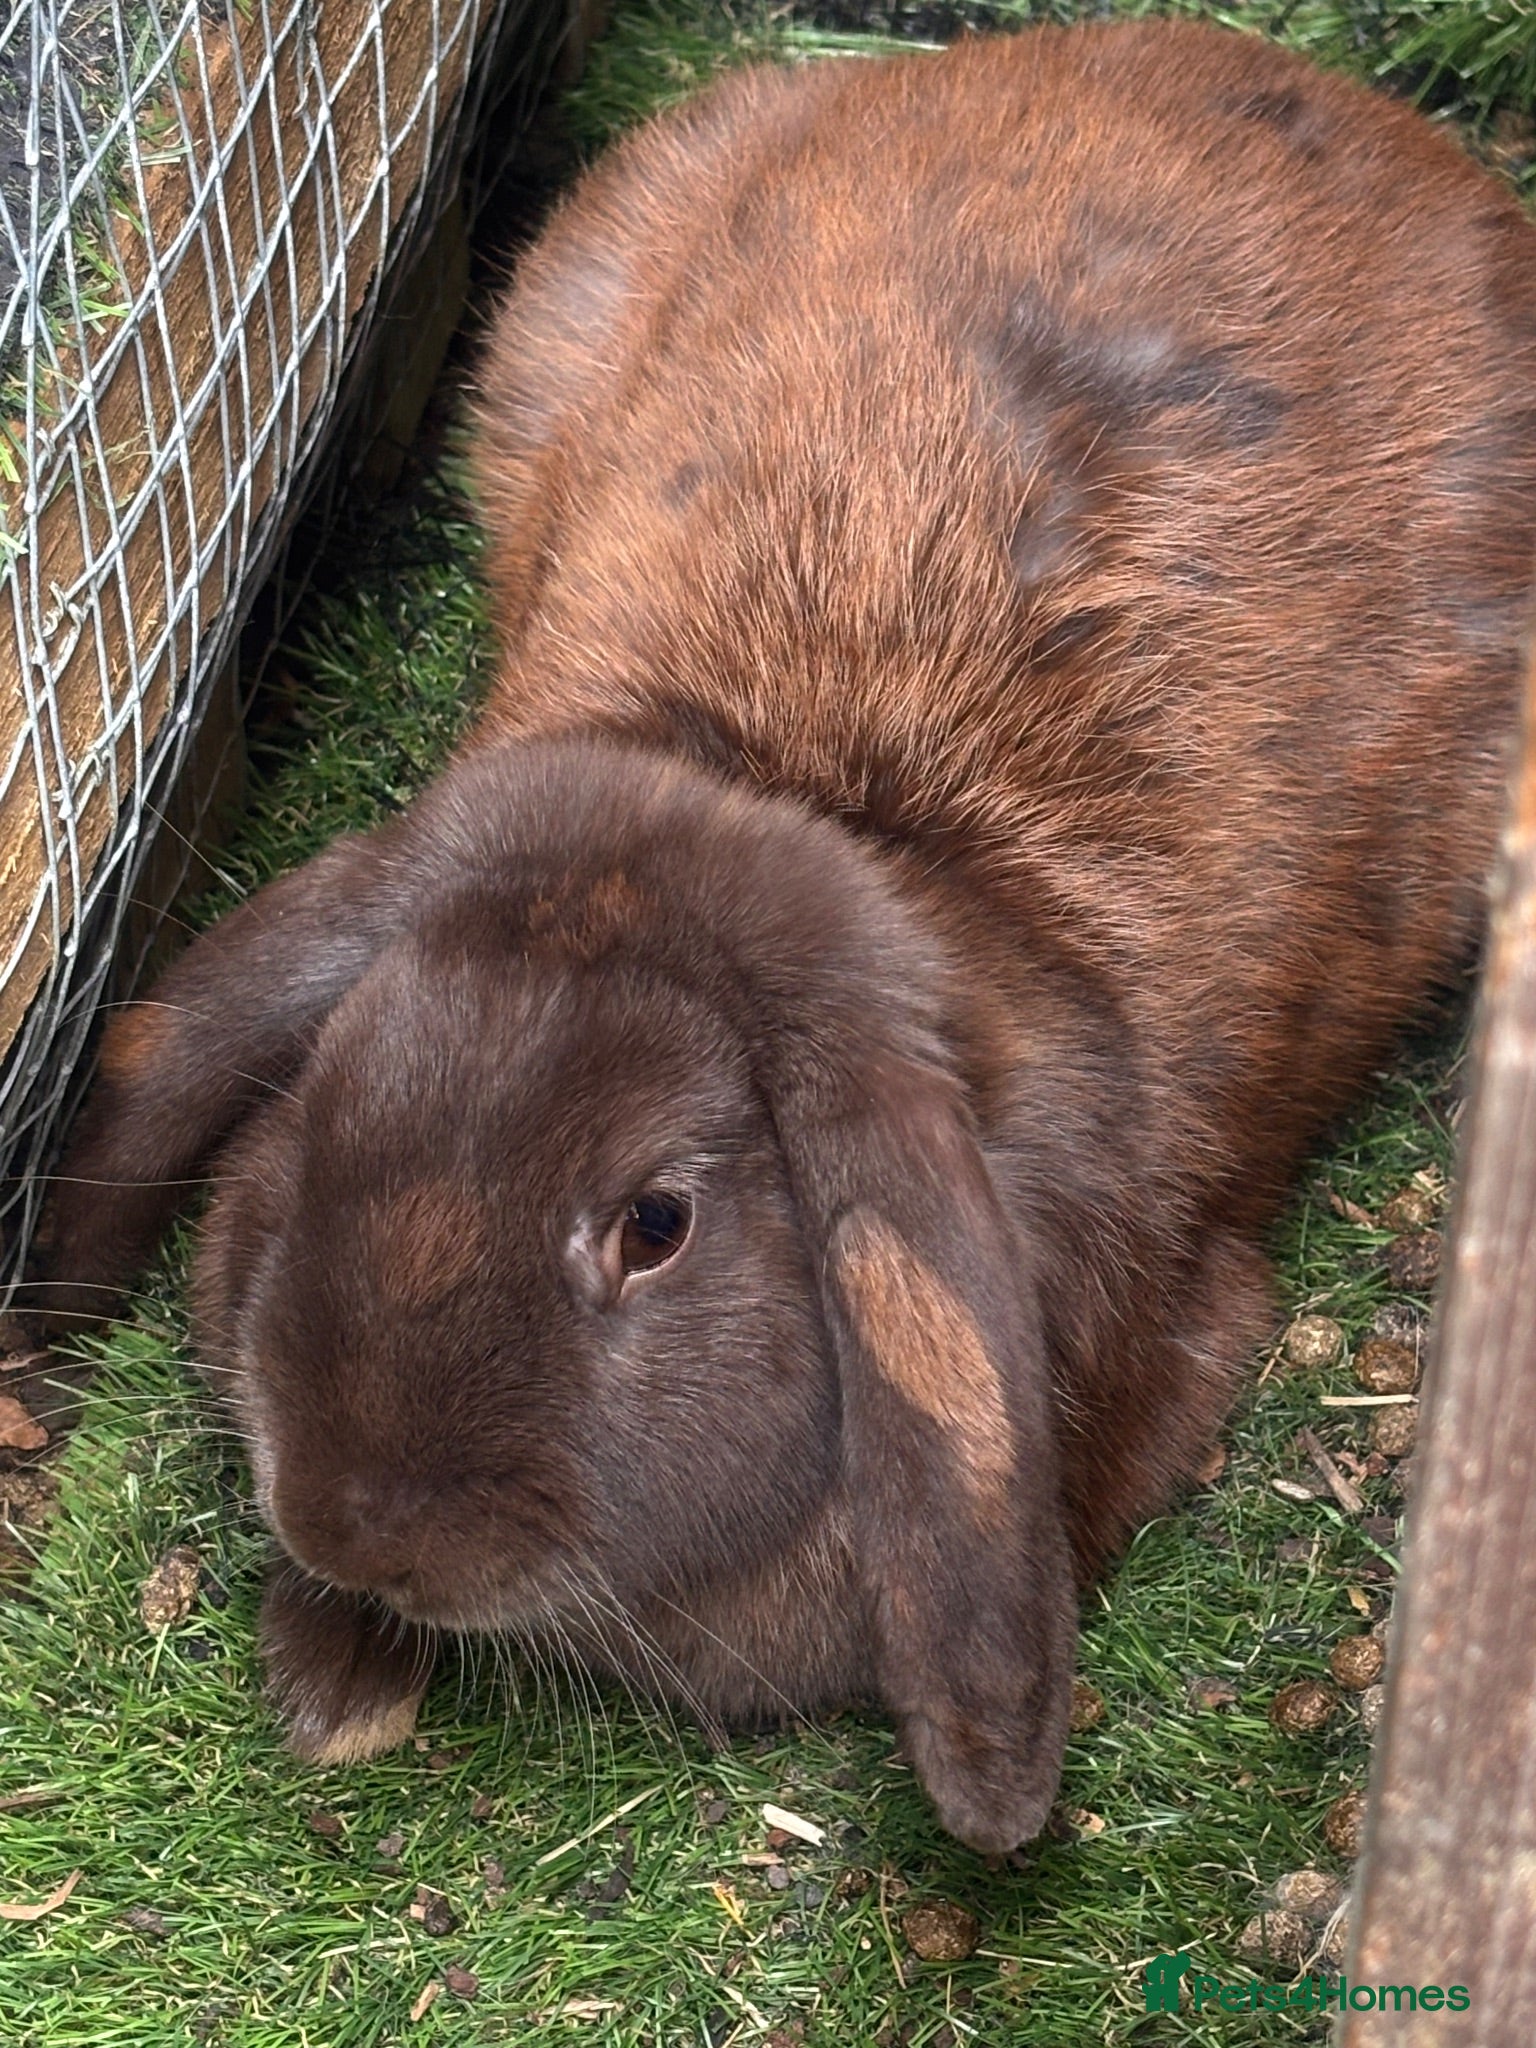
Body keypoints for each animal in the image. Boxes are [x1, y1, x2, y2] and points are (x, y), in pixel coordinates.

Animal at [22, 18, 1536, 1854]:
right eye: (319, 1115)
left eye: (656, 1224)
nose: (358, 1522)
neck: (781, 783)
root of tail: (1345, 109)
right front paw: (339, 1676)